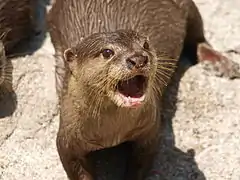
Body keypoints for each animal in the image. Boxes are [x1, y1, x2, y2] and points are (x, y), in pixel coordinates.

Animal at [47, 0, 240, 180]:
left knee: (198, 36)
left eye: (145, 44)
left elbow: (140, 163)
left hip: (187, 7)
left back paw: (222, 64)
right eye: (107, 52)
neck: (111, 133)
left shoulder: (150, 130)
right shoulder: (67, 140)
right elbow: (77, 169)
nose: (138, 58)